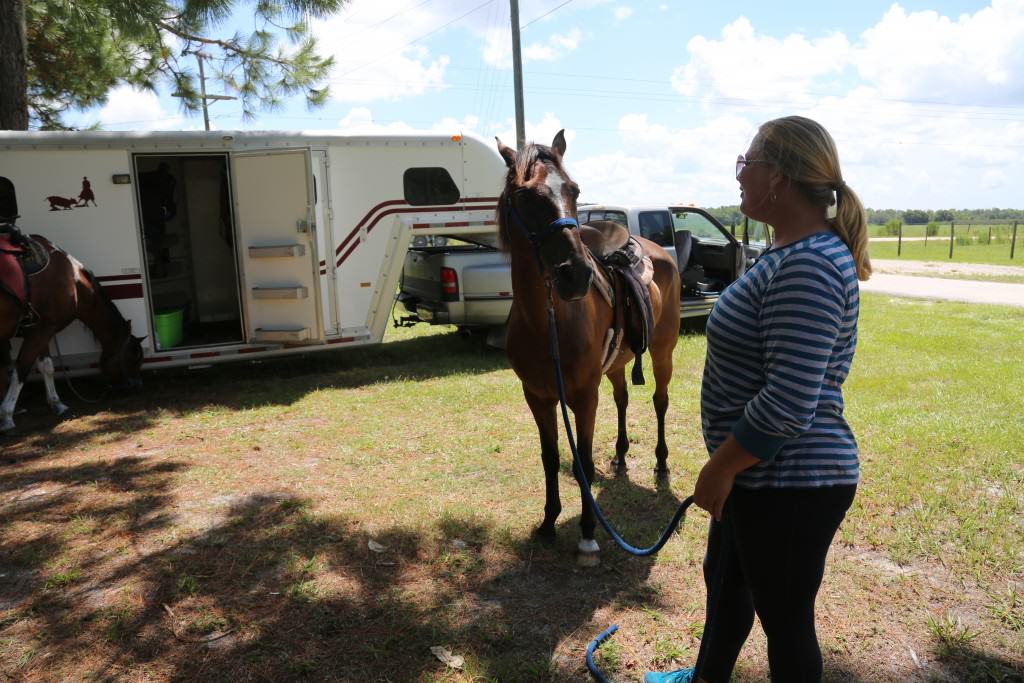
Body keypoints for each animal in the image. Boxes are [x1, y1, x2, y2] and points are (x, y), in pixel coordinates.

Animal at [2, 235, 145, 432]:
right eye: (133, 356)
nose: (137, 386)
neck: (73, 280)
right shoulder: (40, 332)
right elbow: (21, 370)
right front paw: (7, 416)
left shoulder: (41, 331)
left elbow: (46, 366)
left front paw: (56, 404)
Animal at [495, 132, 679, 565]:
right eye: (525, 196)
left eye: (574, 191)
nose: (575, 274)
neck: (546, 323)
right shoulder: (538, 397)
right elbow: (550, 459)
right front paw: (548, 523)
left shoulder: (583, 396)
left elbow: (583, 463)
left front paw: (588, 534)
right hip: (615, 366)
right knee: (623, 399)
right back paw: (621, 455)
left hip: (663, 353)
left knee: (660, 401)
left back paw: (661, 464)